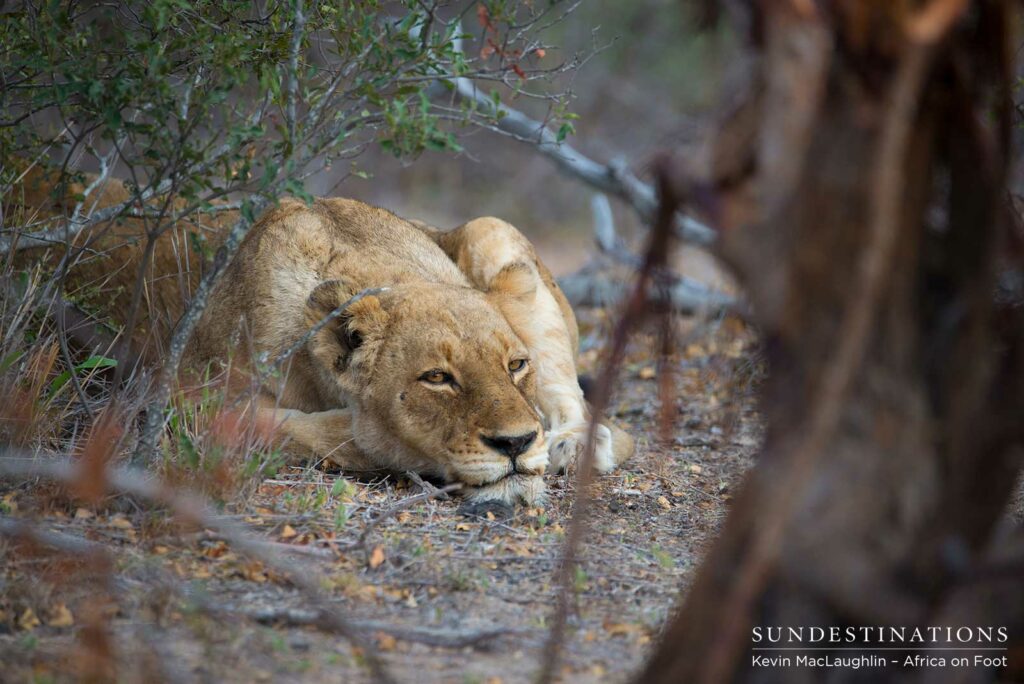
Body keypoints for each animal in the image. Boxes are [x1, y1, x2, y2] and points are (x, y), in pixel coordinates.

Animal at [7, 170, 634, 506]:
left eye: (515, 366)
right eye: (437, 378)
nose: (517, 443)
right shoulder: (180, 396)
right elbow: (298, 429)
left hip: (491, 229)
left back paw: (575, 444)